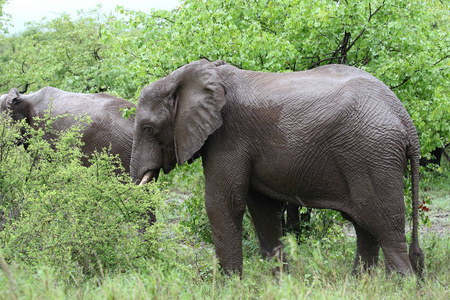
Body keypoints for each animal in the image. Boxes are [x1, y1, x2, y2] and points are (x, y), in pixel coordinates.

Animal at [131, 58, 426, 276]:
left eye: (148, 129)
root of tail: (404, 117)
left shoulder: (228, 137)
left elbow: (223, 202)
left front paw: (229, 286)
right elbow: (262, 208)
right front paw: (281, 283)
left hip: (372, 154)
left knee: (383, 224)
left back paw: (400, 285)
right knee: (365, 224)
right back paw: (358, 282)